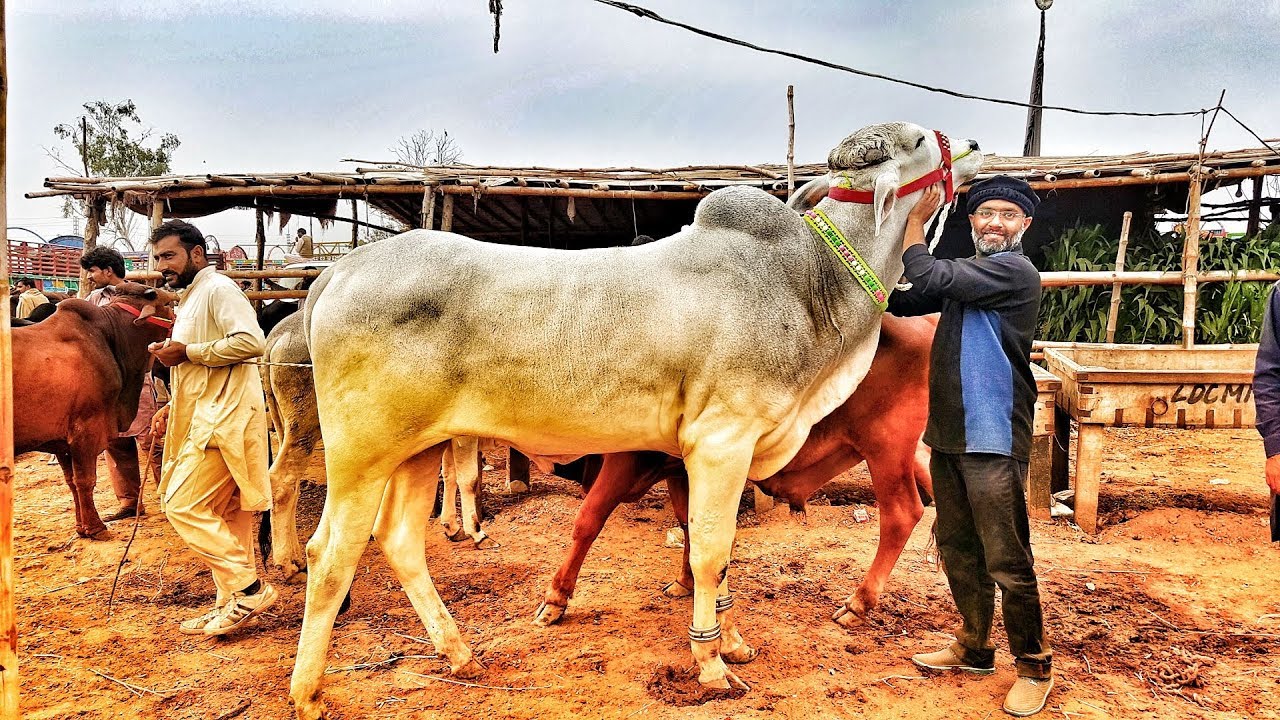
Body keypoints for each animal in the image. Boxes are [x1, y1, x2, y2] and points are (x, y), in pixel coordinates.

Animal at [13, 284, 174, 539]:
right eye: (167, 304)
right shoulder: (85, 431)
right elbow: (85, 481)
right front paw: (95, 527)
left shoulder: (61, 441)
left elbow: (71, 481)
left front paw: (81, 527)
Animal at [533, 312, 936, 628]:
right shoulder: (680, 466)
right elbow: (687, 522)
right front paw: (685, 581)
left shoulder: (629, 459)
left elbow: (588, 520)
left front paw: (555, 600)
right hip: (915, 452)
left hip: (886, 448)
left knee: (902, 514)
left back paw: (858, 603)